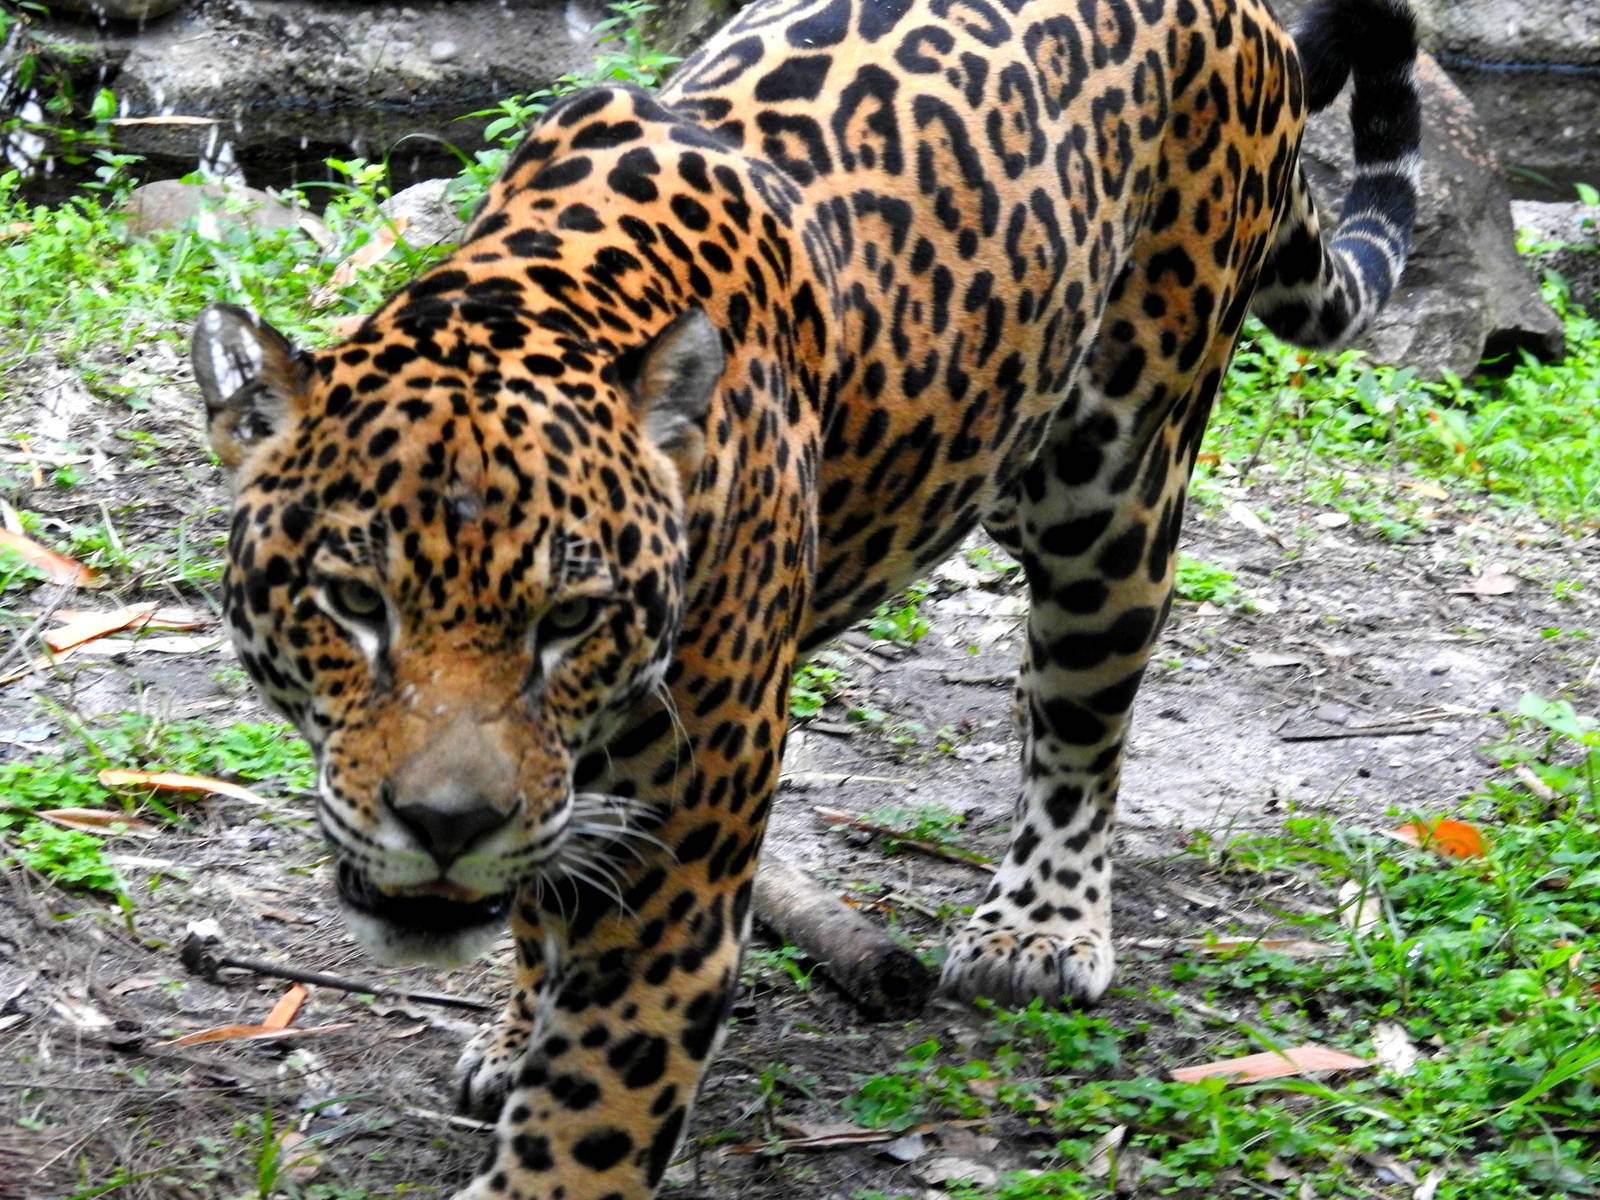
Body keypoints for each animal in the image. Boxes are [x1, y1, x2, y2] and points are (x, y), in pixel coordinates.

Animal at [190, 0, 1421, 1195]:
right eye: (352, 603)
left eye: (570, 623)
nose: (447, 827)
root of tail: (1252, 22)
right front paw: (515, 1022)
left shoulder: (685, 840)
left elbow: (593, 1108)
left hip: (1116, 485)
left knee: (1080, 722)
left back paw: (1039, 931)